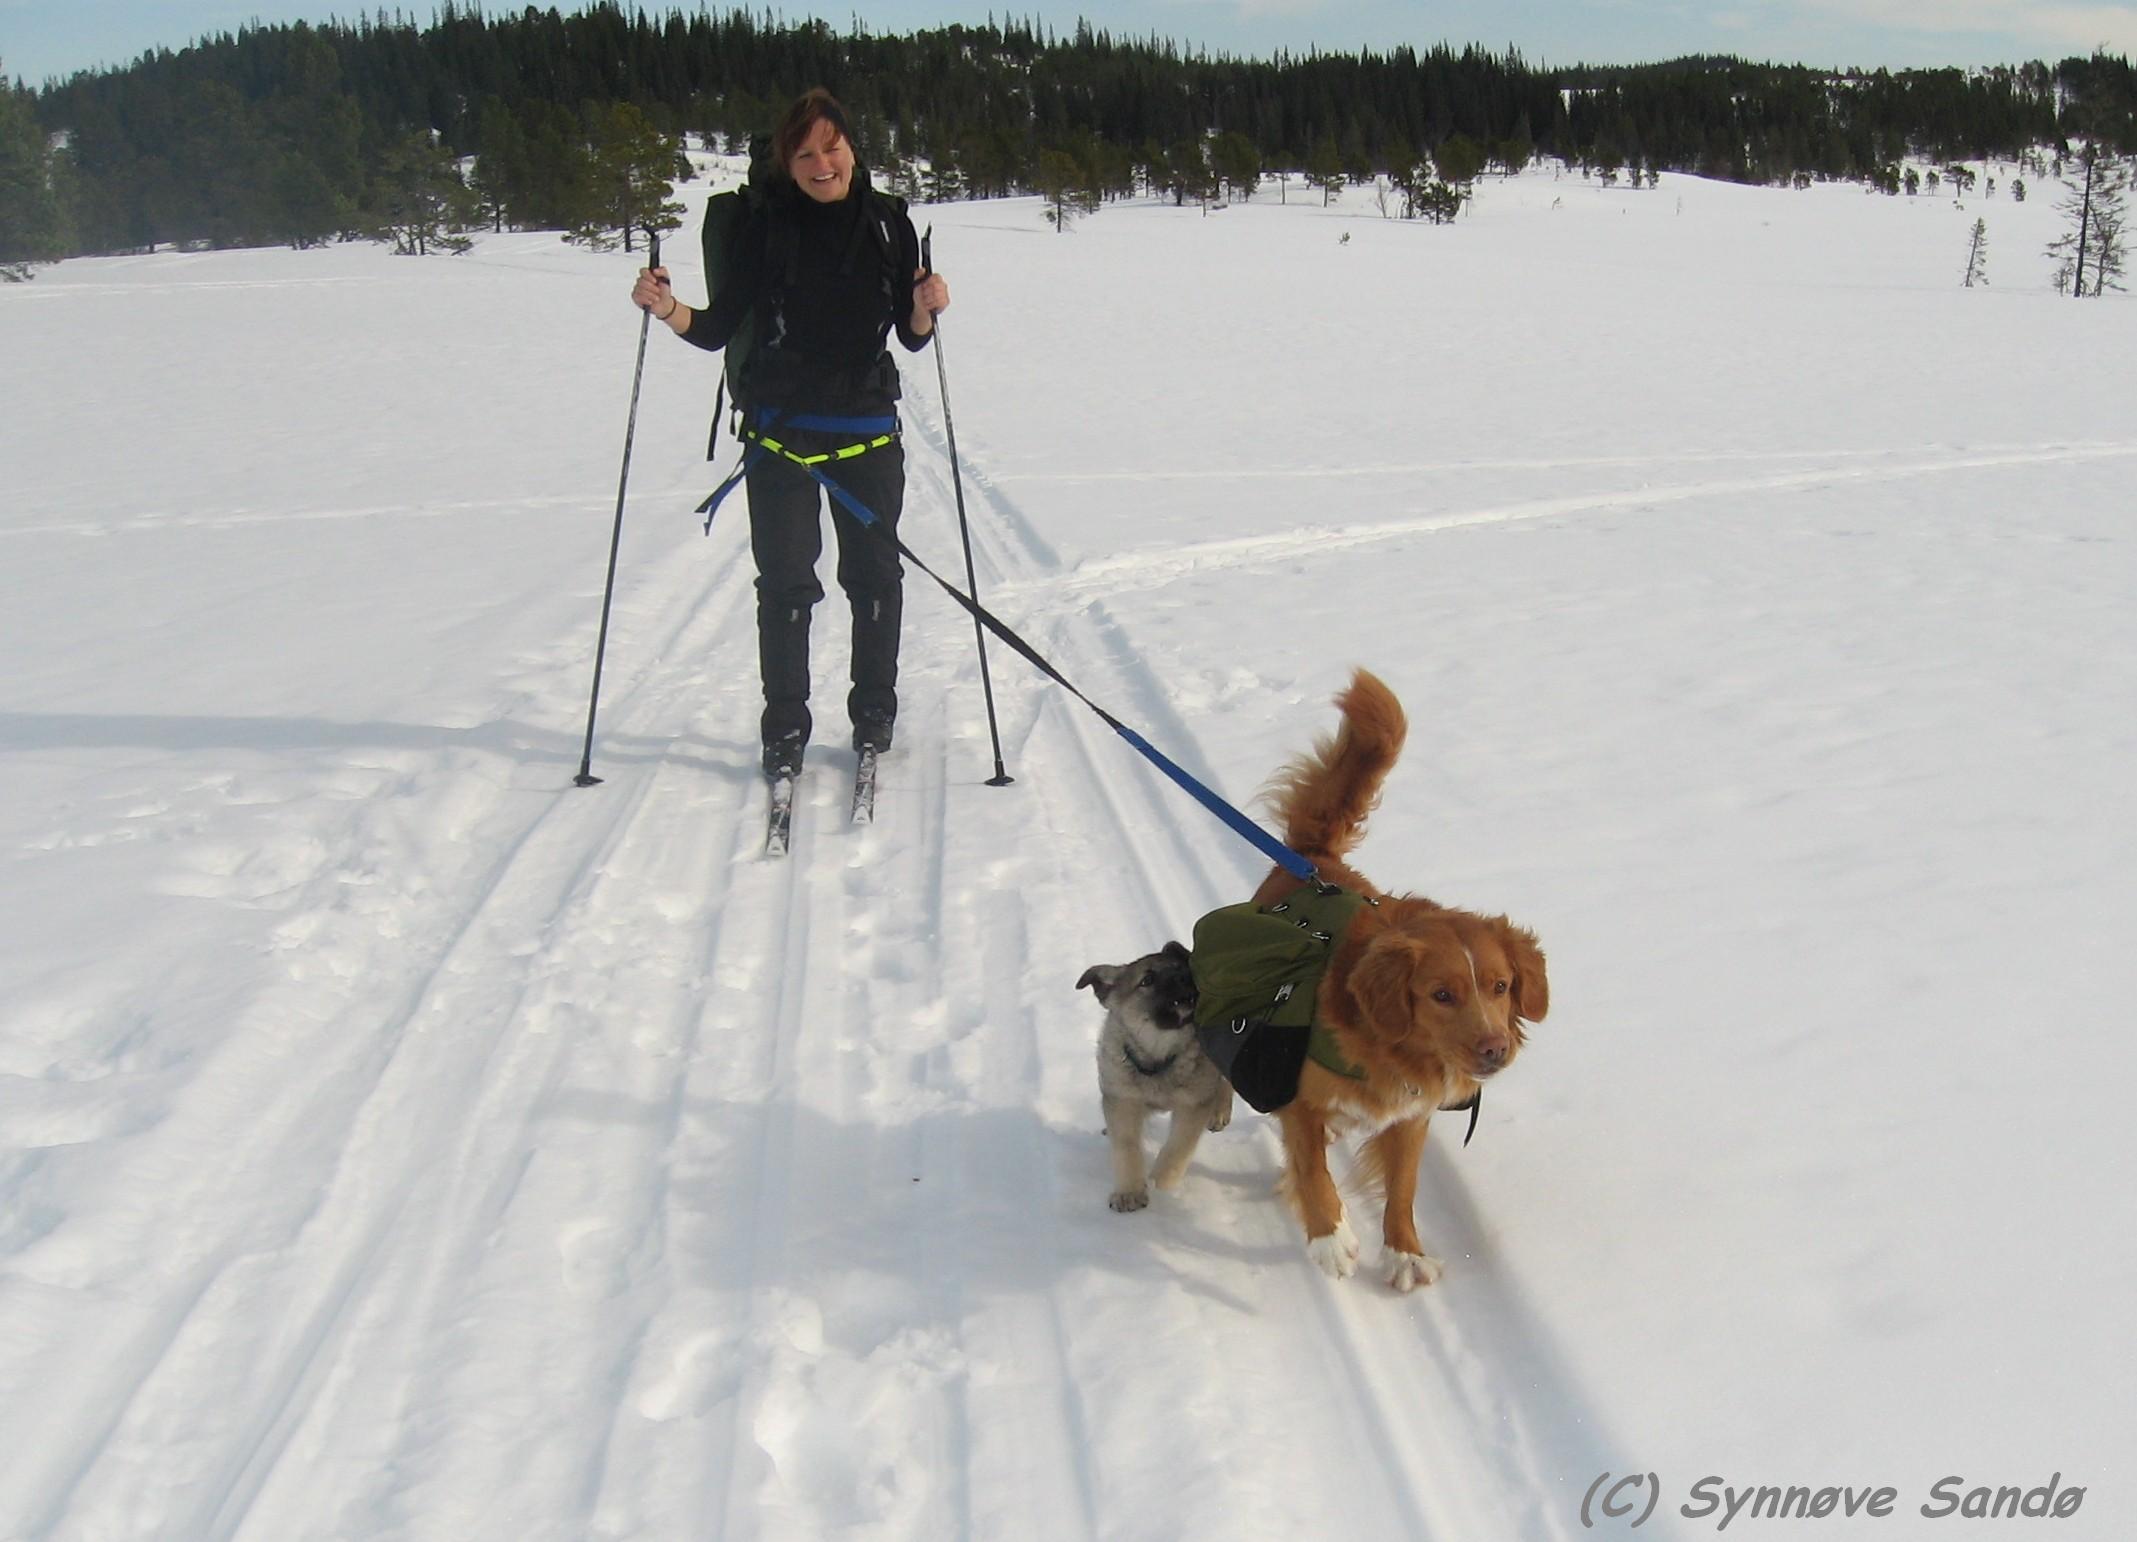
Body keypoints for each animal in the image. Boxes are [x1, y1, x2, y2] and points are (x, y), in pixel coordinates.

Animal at [1077, 943, 1230, 1204]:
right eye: (1146, 980)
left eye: (1182, 968)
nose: (1186, 977)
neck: (1159, 1055)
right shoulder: (1123, 1098)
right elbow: (1126, 1147)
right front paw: (1130, 1192)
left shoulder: (1192, 1105)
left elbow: (1177, 1149)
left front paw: (1161, 1188)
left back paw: (1220, 1111)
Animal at [1248, 666, 1555, 1281]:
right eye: (1441, 995)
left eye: (1501, 987)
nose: (1494, 1049)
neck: (1391, 1050)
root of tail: (1314, 861)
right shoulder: (1298, 1098)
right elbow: (1312, 1166)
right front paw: (1330, 1235)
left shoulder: (1412, 1117)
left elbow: (1404, 1186)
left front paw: (1405, 1251)